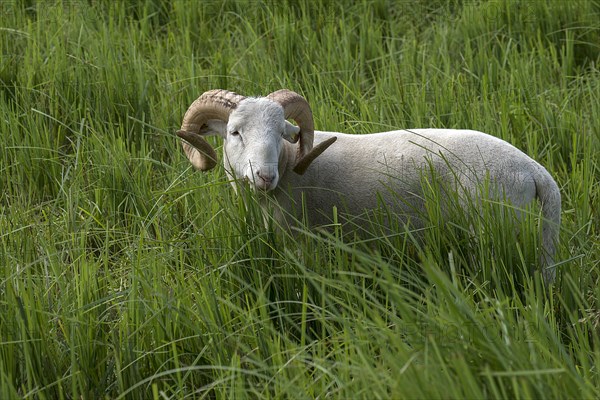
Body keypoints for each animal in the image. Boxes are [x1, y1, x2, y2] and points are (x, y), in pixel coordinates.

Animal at [176, 89, 560, 282]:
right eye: (234, 132)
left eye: (282, 133)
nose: (265, 177)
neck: (289, 165)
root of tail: (535, 171)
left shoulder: (301, 242)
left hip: (492, 228)